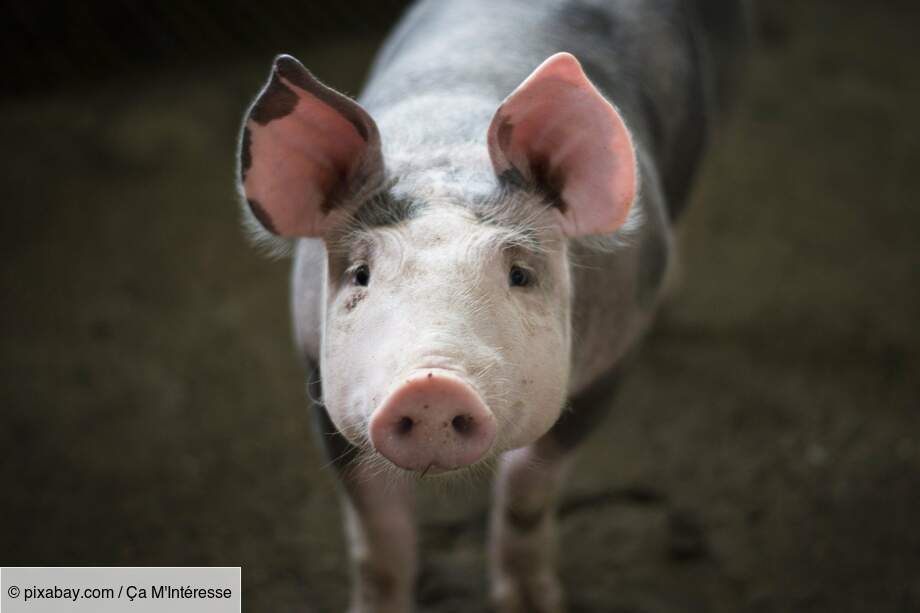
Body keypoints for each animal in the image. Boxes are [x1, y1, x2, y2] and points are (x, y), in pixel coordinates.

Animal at [236, 0, 748, 611]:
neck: (449, 146)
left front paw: (532, 602)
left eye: (519, 274)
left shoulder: (611, 358)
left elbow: (527, 493)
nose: (431, 384)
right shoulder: (318, 373)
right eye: (361, 274)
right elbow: (377, 533)